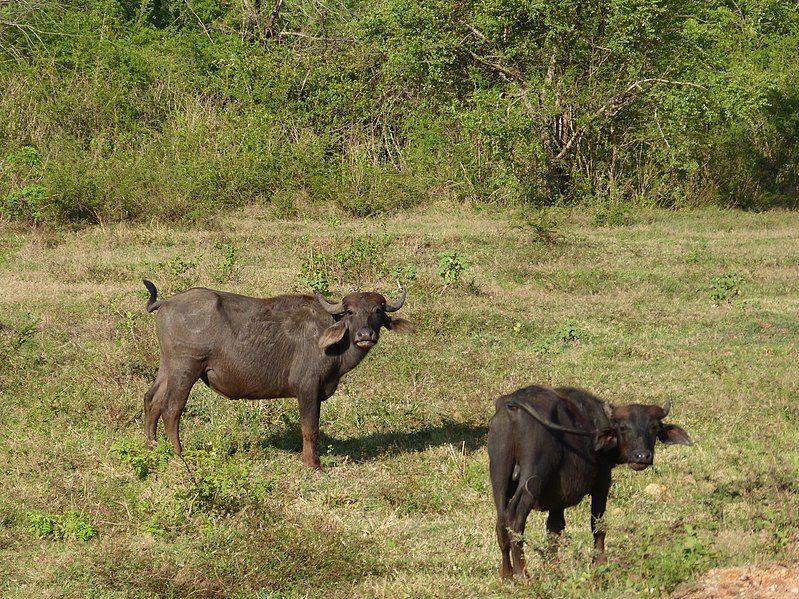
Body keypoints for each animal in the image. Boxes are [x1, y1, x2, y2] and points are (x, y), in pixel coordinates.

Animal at [141, 278, 412, 472]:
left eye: (377, 311)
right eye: (350, 312)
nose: (365, 335)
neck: (333, 341)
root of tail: (167, 302)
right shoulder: (308, 389)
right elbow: (310, 428)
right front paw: (313, 464)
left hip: (167, 367)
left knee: (151, 400)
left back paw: (152, 447)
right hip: (185, 368)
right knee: (171, 408)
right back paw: (179, 454)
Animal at [488, 386, 692, 580]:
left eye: (654, 428)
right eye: (623, 428)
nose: (641, 456)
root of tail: (513, 405)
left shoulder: (558, 500)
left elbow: (554, 530)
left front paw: (554, 568)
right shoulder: (603, 481)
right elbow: (598, 524)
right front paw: (600, 564)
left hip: (499, 476)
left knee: (501, 521)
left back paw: (506, 575)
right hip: (533, 477)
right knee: (515, 520)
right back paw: (523, 575)